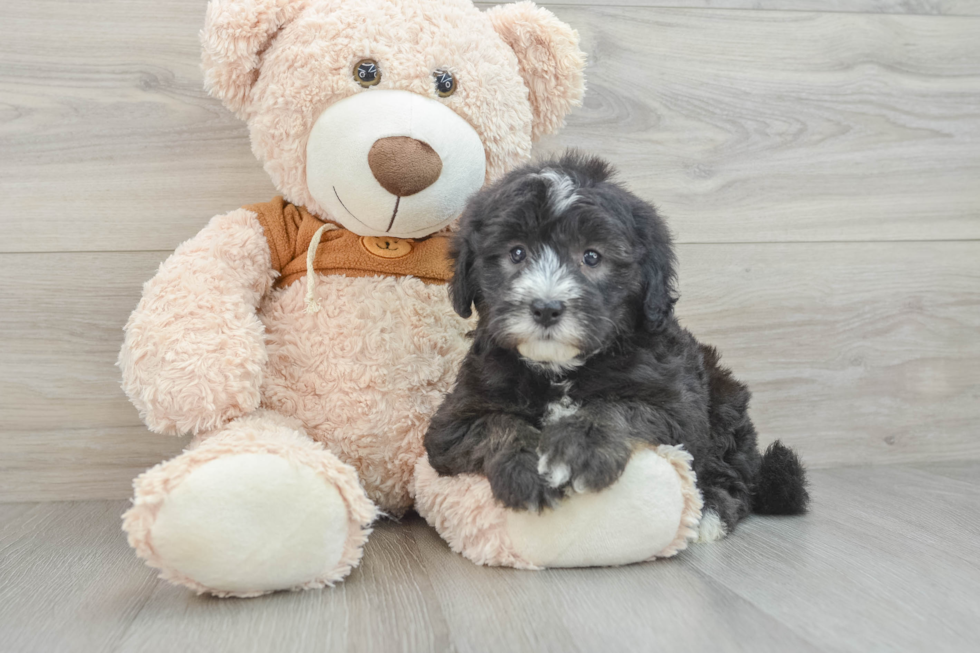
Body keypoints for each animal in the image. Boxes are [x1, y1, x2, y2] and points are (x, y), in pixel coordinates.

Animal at [424, 153, 808, 540]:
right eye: (517, 252)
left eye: (592, 257)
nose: (546, 308)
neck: (560, 370)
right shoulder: (453, 421)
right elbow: (497, 425)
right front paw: (528, 465)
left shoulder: (679, 409)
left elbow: (619, 407)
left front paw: (580, 444)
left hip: (724, 405)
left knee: (733, 473)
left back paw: (711, 510)